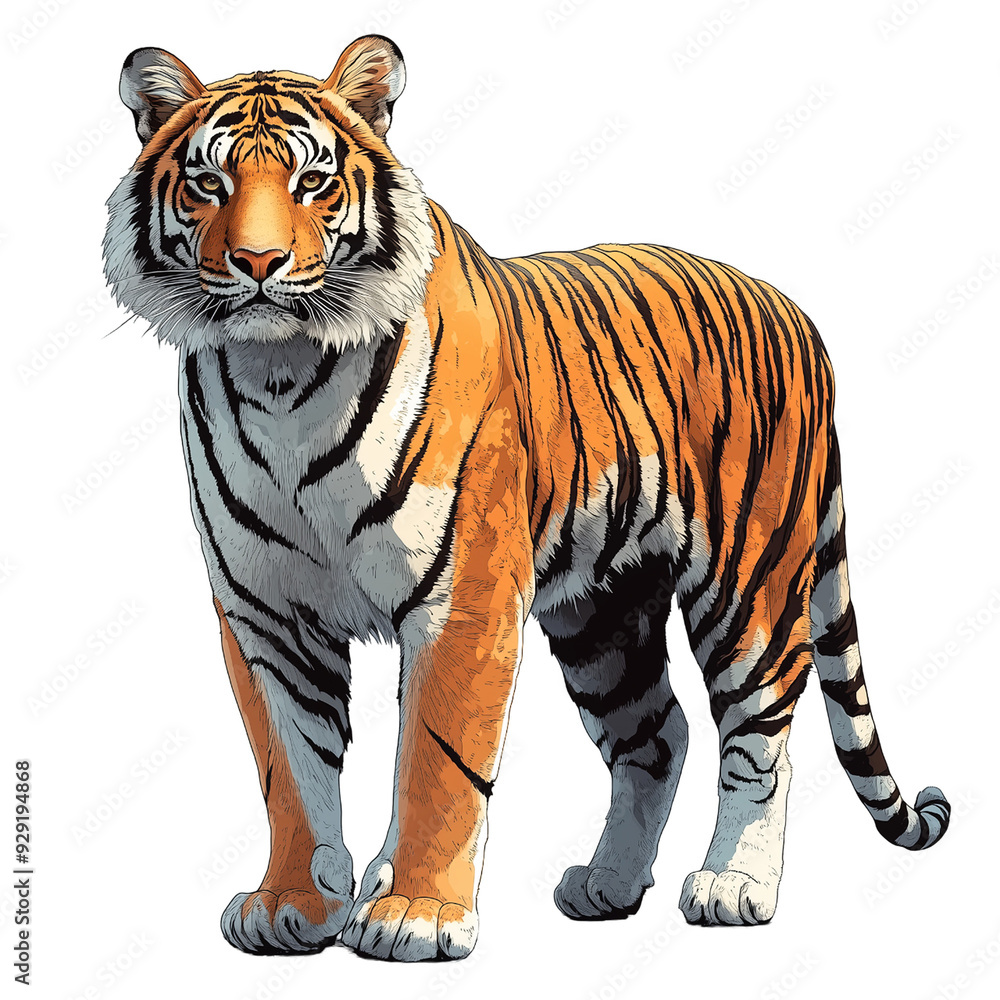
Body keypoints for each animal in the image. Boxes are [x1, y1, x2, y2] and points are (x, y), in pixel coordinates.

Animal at [103, 35, 950, 962]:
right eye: (207, 183)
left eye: (313, 181)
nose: (258, 265)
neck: (280, 373)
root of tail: (796, 312)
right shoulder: (266, 612)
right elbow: (287, 766)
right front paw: (292, 903)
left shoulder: (460, 594)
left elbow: (436, 761)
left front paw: (414, 913)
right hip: (603, 613)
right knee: (658, 735)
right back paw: (608, 884)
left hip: (749, 583)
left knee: (759, 735)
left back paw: (734, 884)